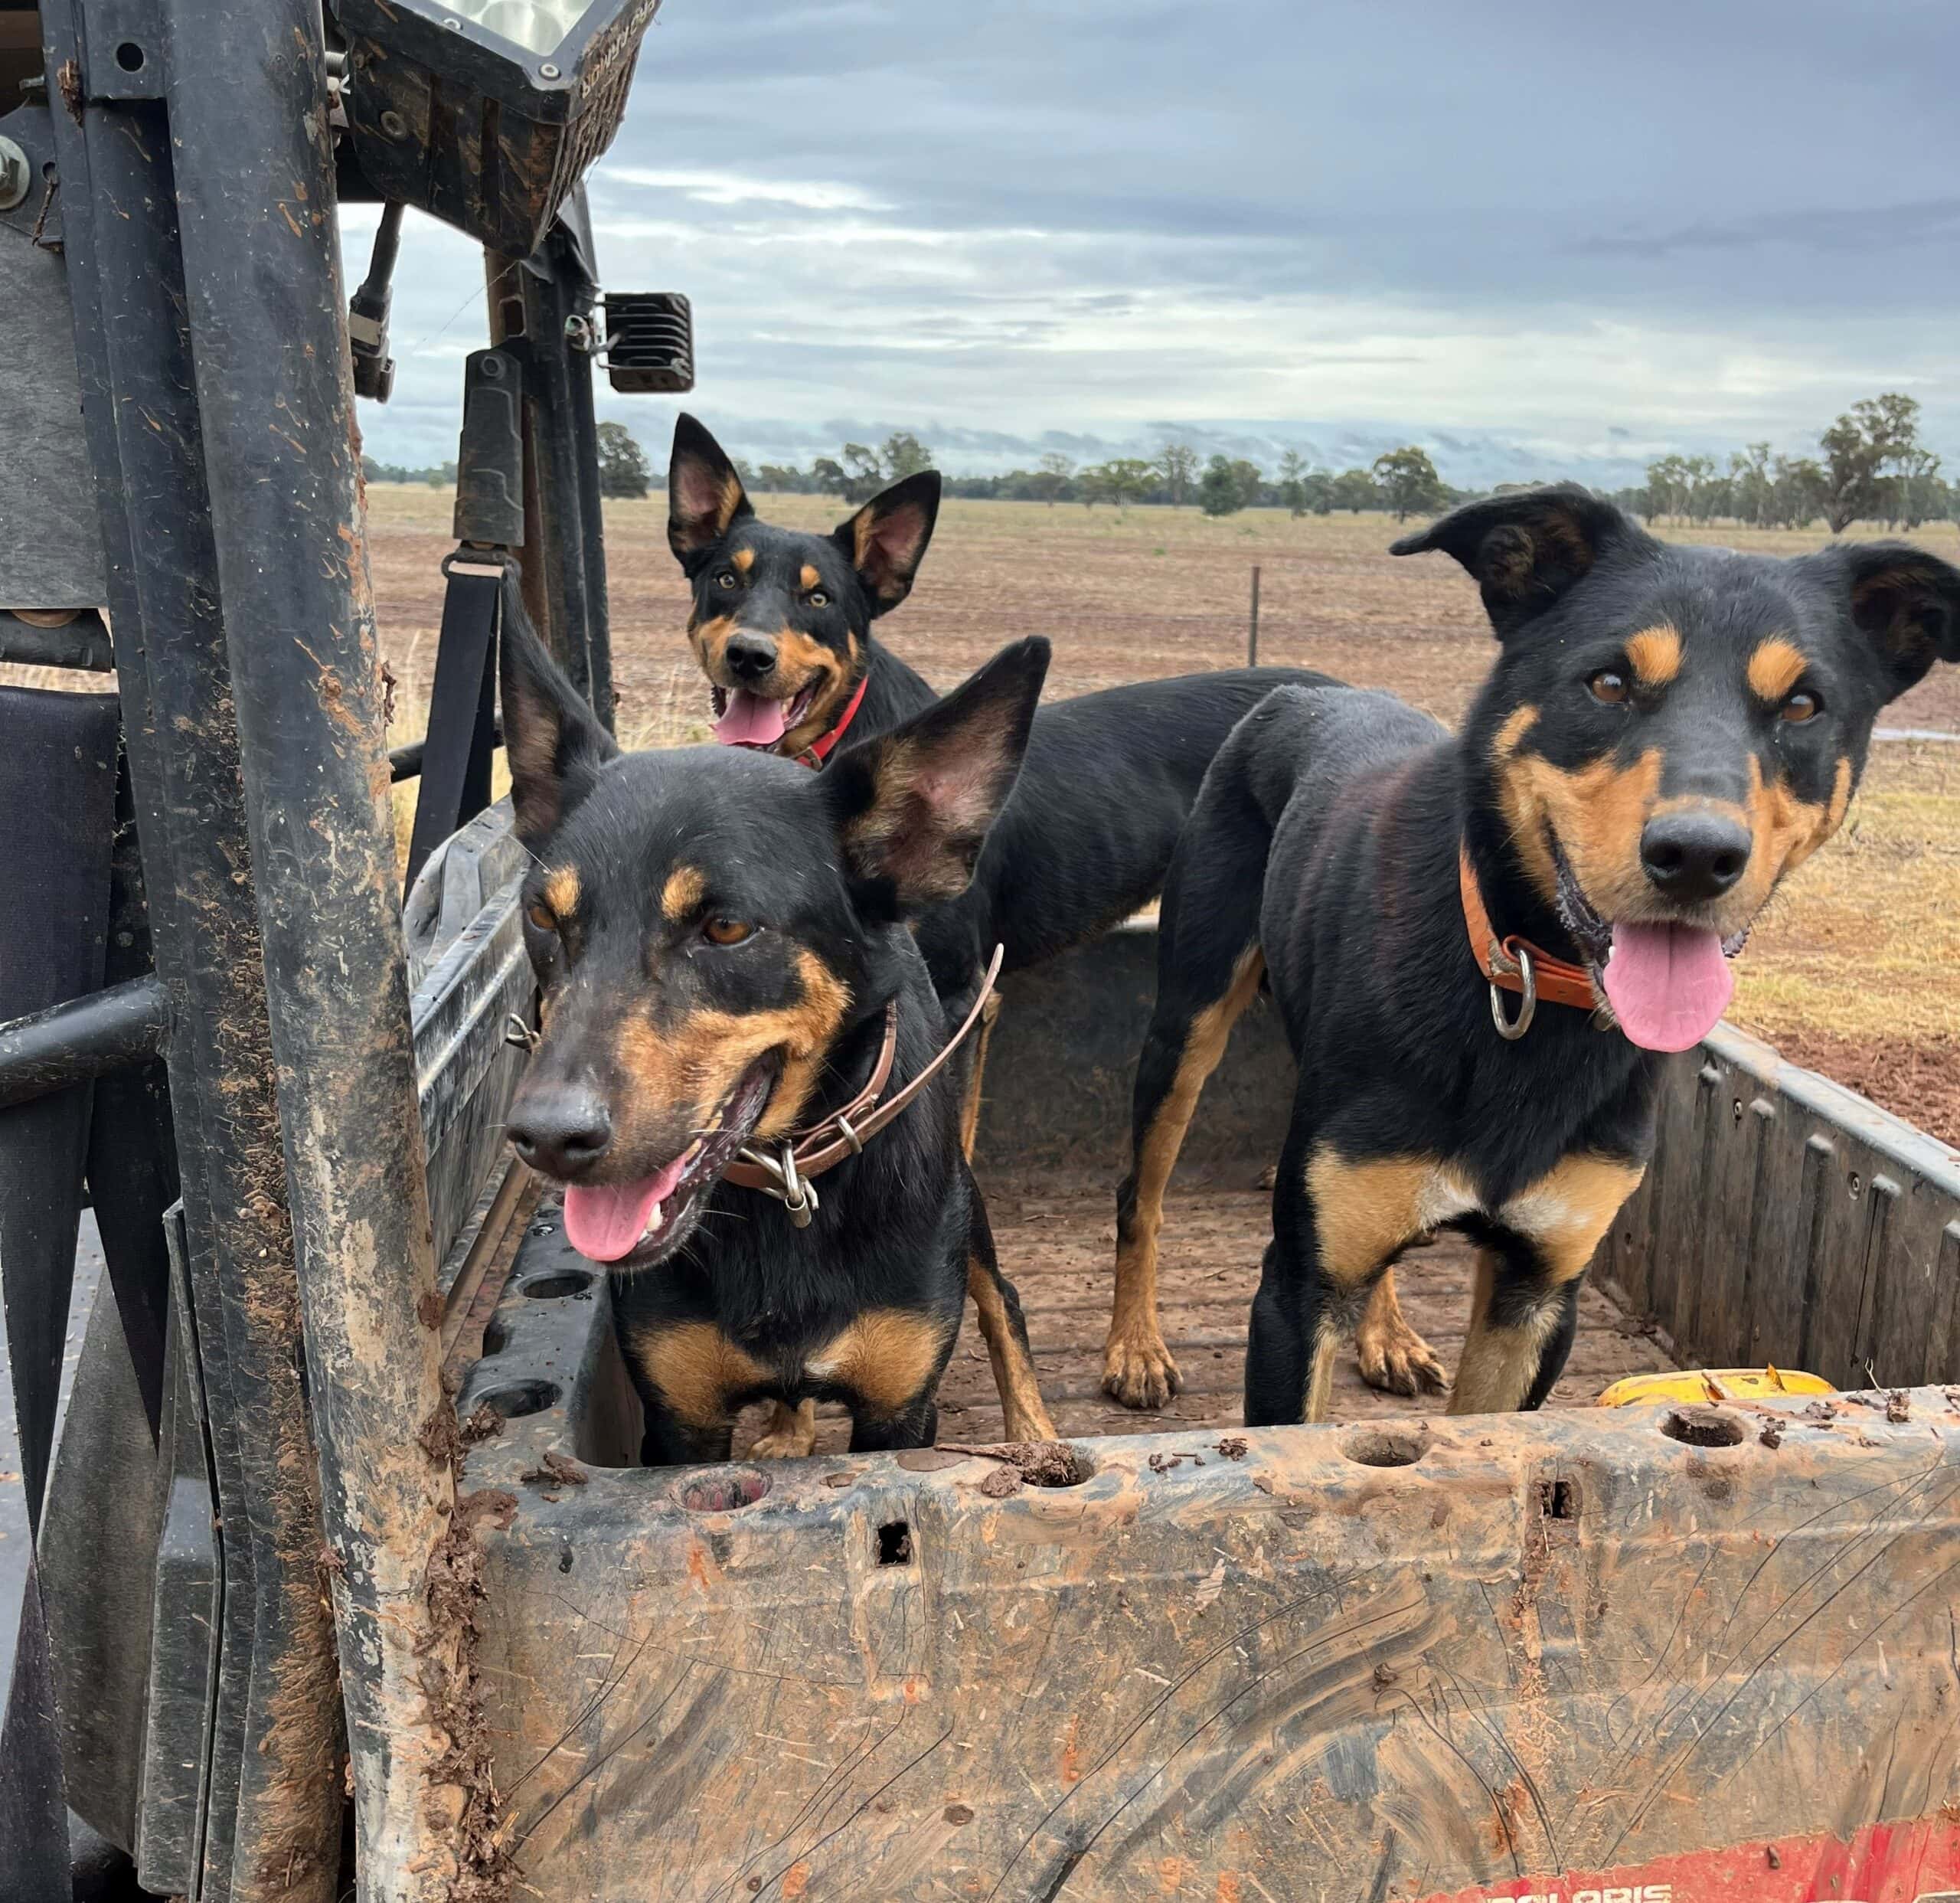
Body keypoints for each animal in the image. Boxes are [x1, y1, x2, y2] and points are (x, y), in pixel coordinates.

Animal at [498, 587, 1066, 1466]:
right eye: (542, 917)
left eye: (727, 927)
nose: (548, 1137)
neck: (784, 1183)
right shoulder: (681, 1421)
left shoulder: (899, 1414)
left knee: (1000, 1296)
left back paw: (1035, 1434)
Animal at [1113, 484, 1952, 1418]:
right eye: (1609, 682)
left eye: (1803, 706)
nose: (1697, 856)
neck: (1522, 980)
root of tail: (1293, 691)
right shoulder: (1295, 1295)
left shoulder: (1538, 1292)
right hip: (1187, 1024)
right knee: (1141, 1195)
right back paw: (1135, 1348)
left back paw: (1386, 1332)